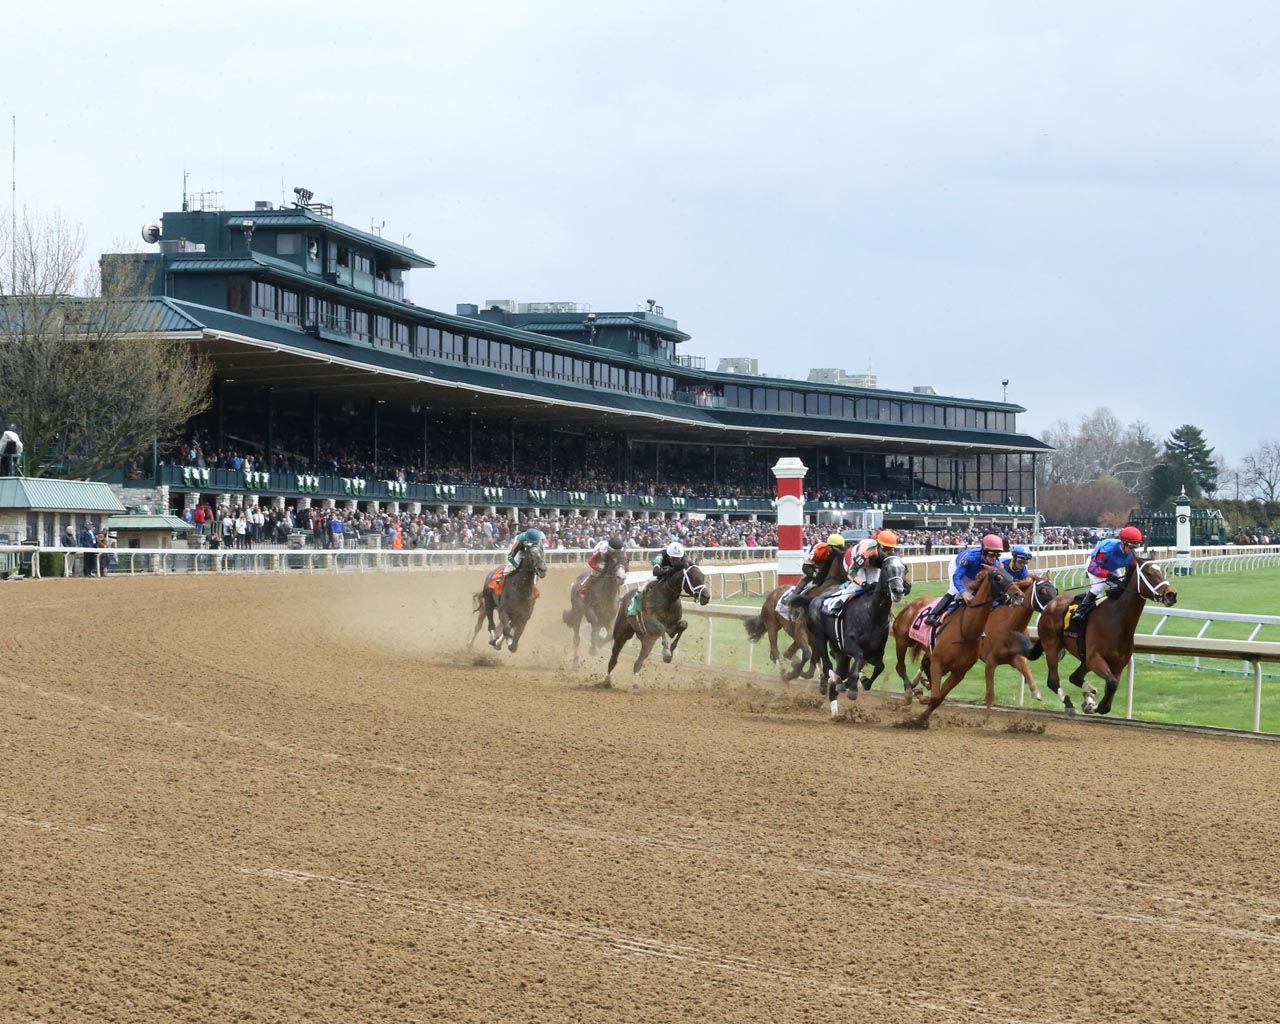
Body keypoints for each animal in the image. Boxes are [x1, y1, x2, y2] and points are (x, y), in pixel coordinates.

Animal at [747, 552, 844, 680]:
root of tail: (772, 593)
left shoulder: (815, 636)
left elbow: (812, 661)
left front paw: (797, 668)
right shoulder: (800, 629)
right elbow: (807, 654)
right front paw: (792, 673)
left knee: (788, 652)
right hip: (772, 624)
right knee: (774, 652)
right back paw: (783, 670)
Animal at [798, 552, 911, 721]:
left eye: (904, 569)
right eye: (885, 568)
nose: (898, 590)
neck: (873, 614)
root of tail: (816, 598)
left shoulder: (876, 652)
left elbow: (879, 667)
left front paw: (862, 682)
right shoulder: (850, 644)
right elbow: (858, 657)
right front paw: (852, 689)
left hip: (839, 650)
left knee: (839, 669)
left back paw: (835, 705)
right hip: (819, 636)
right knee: (826, 663)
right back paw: (832, 680)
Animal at [890, 568, 1018, 727]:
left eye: (1012, 577)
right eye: (998, 577)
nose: (1018, 594)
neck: (966, 631)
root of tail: (912, 604)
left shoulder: (959, 672)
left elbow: (938, 697)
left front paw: (921, 718)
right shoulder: (938, 662)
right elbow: (936, 696)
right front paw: (920, 702)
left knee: (924, 664)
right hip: (903, 641)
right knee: (900, 667)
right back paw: (909, 693)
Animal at [977, 576, 1059, 711]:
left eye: (1056, 590)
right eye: (1042, 591)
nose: (1055, 609)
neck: (1008, 627)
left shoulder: (1015, 657)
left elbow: (1026, 669)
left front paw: (1036, 693)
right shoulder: (990, 661)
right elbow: (989, 695)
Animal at [1029, 555, 1177, 716]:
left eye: (1163, 571)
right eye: (1149, 573)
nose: (1171, 594)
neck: (1116, 621)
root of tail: (1050, 603)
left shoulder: (1117, 665)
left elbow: (1110, 695)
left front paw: (1091, 704)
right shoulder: (1095, 658)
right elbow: (1111, 684)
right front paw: (1092, 705)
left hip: (1084, 658)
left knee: (1074, 677)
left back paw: (1089, 694)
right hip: (1052, 645)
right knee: (1053, 681)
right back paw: (1070, 703)